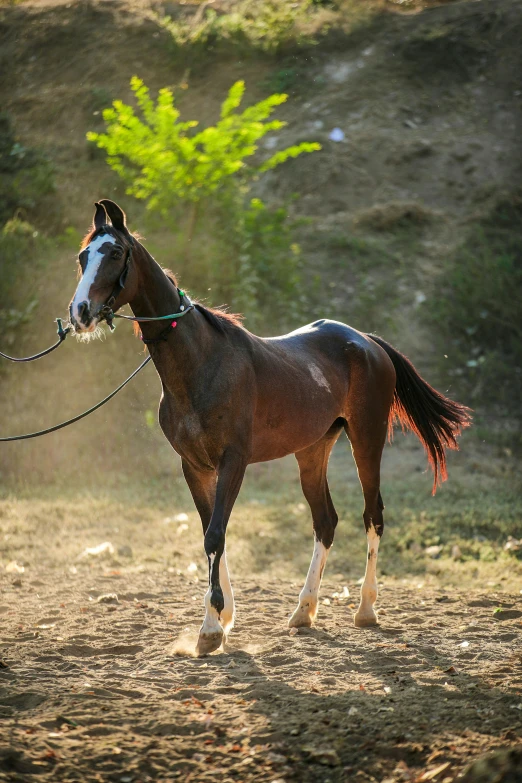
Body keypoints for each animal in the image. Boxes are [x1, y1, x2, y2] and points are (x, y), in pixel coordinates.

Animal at [67, 201, 470, 656]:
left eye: (115, 253)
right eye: (82, 257)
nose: (80, 313)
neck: (201, 364)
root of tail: (367, 341)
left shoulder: (234, 462)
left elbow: (214, 536)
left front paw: (210, 630)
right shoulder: (195, 466)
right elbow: (213, 535)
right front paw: (223, 617)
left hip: (366, 441)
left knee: (373, 516)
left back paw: (365, 610)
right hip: (312, 452)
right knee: (325, 522)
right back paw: (303, 611)